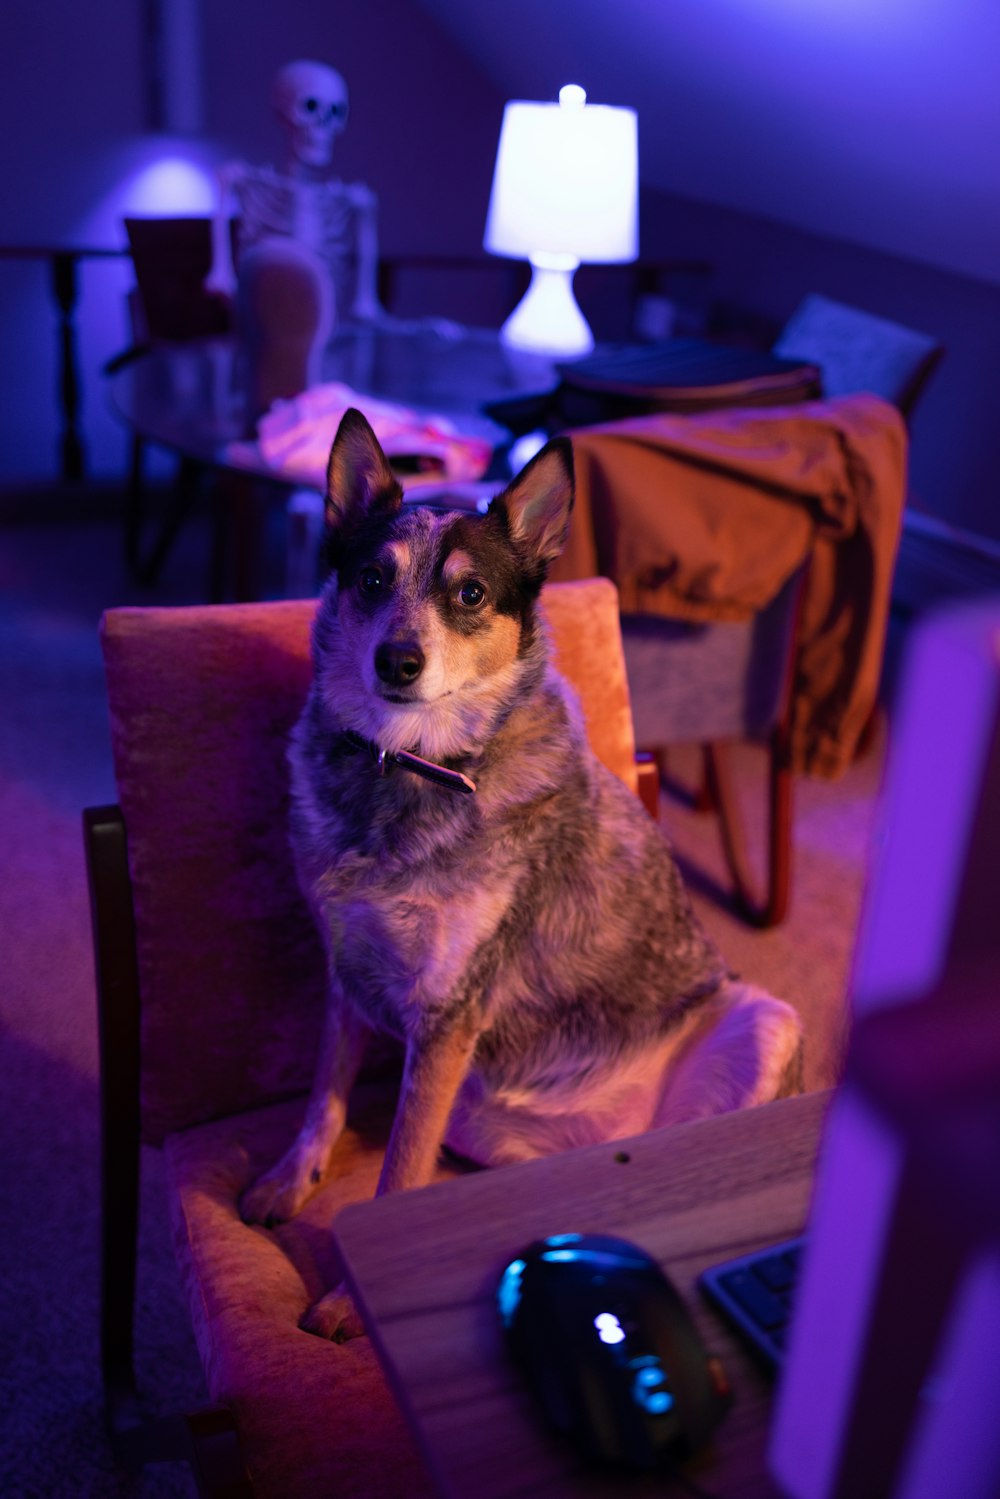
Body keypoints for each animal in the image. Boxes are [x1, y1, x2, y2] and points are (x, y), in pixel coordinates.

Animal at [242, 407, 803, 1337]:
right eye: (370, 577)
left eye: (470, 594)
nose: (397, 660)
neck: (411, 771)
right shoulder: (345, 970)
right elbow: (324, 1095)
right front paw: (290, 1181)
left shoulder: (446, 1015)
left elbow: (396, 1174)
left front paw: (349, 1302)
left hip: (769, 1018)